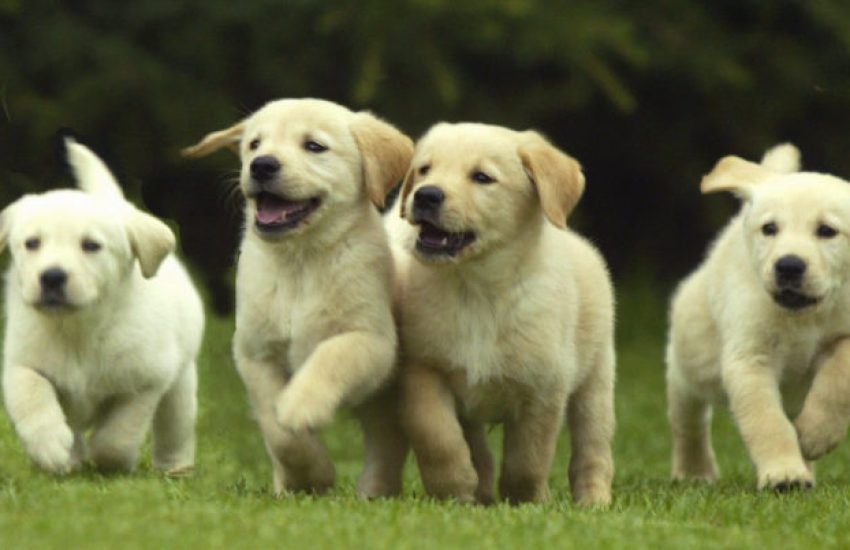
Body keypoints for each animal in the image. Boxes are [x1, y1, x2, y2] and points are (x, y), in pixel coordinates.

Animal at [1, 140, 204, 476]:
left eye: (91, 245)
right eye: (32, 243)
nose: (52, 276)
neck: (78, 328)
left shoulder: (146, 381)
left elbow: (118, 434)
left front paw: (114, 463)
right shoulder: (21, 362)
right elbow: (32, 396)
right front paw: (50, 447)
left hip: (180, 385)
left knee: (175, 429)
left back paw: (175, 468)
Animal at [184, 99, 412, 500]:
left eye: (314, 146)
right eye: (254, 144)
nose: (261, 165)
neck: (300, 260)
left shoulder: (373, 341)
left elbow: (331, 356)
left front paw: (300, 405)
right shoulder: (254, 353)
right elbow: (279, 434)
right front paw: (310, 477)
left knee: (385, 447)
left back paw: (374, 492)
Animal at [386, 123, 616, 506]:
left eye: (482, 177)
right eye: (424, 170)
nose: (425, 195)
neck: (475, 289)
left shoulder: (543, 387)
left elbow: (528, 459)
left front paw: (528, 502)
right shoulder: (422, 368)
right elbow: (437, 436)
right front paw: (454, 488)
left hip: (596, 379)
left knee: (593, 449)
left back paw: (593, 500)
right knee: (479, 449)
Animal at [664, 142, 850, 492]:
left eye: (827, 231)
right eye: (770, 229)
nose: (789, 266)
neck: (803, 315)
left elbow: (838, 378)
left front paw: (815, 435)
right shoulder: (750, 357)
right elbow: (767, 421)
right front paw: (784, 474)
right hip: (689, 363)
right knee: (689, 421)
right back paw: (694, 471)